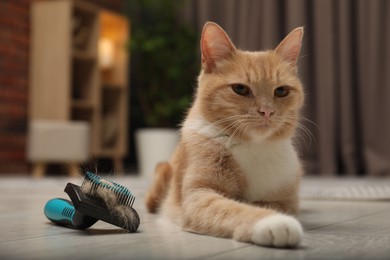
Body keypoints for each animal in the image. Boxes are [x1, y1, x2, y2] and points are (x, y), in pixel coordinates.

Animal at [145, 21, 304, 247]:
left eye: (281, 91)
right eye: (240, 89)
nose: (266, 111)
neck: (253, 145)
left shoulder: (287, 200)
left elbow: (266, 203)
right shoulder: (198, 196)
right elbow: (233, 207)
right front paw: (274, 222)